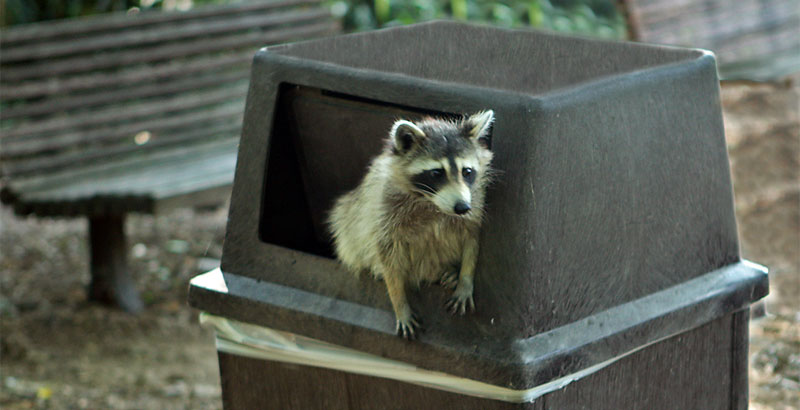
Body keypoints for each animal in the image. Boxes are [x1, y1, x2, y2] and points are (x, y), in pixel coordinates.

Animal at [326, 109, 494, 340]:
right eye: (436, 173)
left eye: (467, 172)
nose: (462, 207)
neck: (432, 203)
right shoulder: (384, 213)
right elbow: (389, 258)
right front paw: (400, 302)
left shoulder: (475, 205)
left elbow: (472, 240)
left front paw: (465, 279)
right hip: (349, 219)